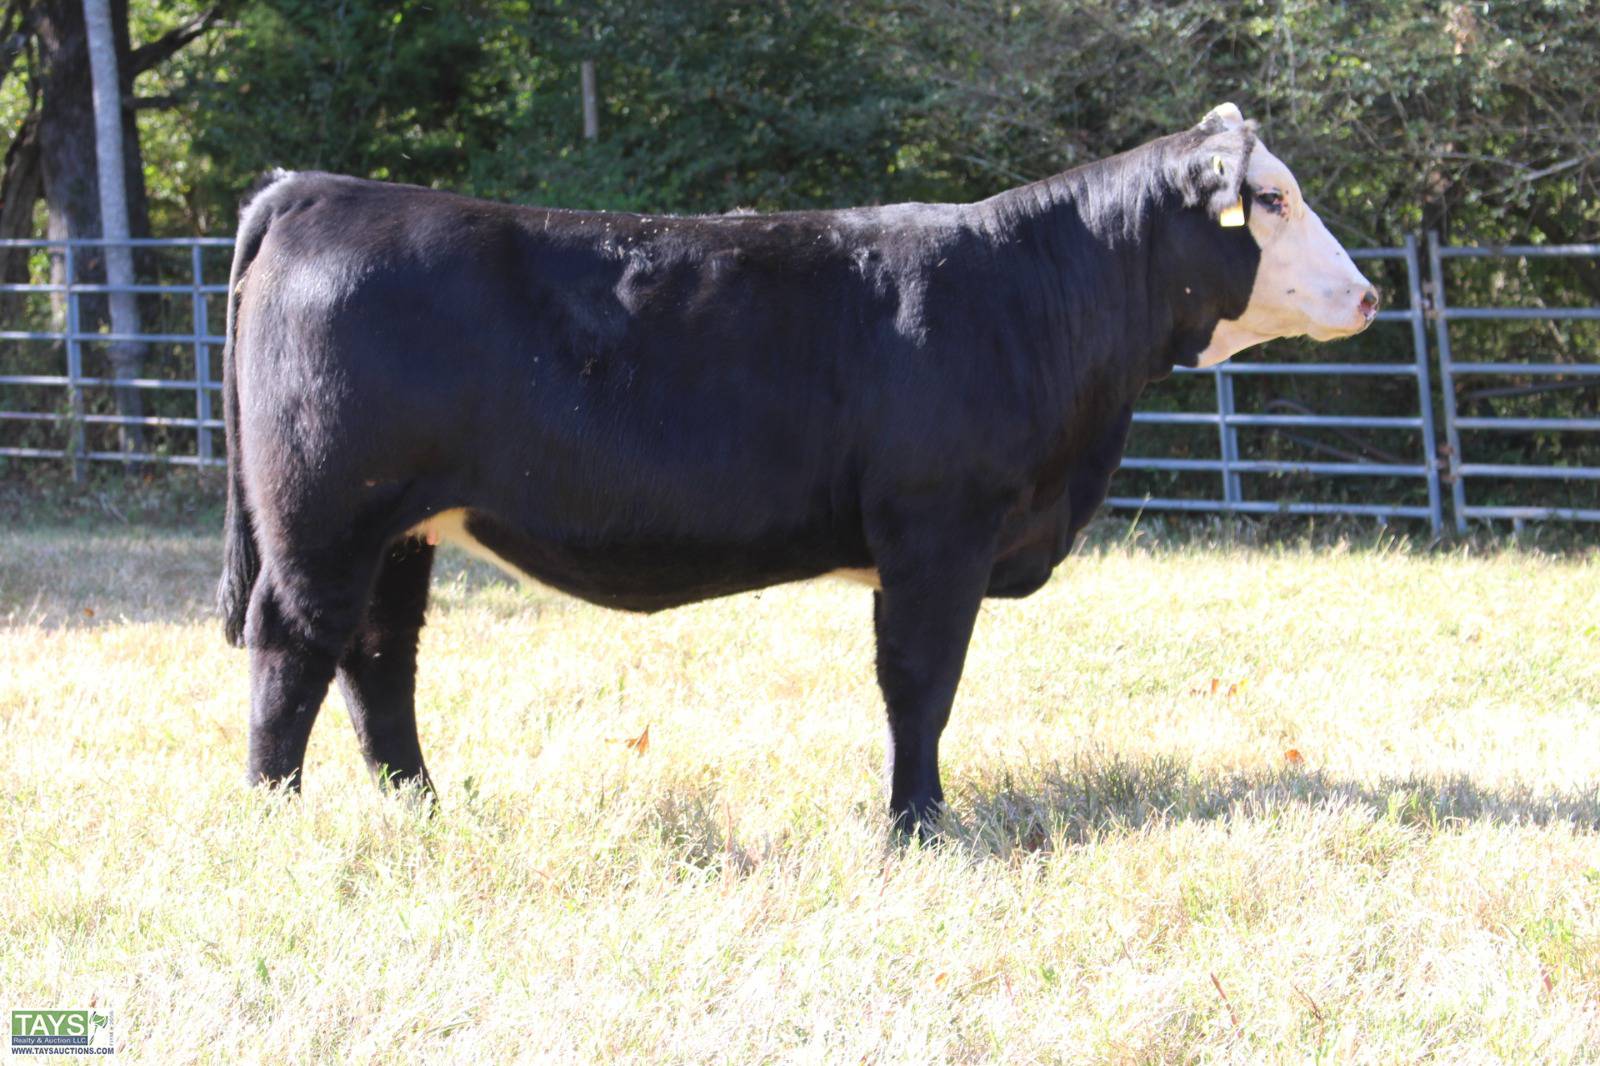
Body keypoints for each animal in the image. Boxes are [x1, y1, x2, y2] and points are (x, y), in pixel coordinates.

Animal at [218, 103, 1376, 832]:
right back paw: (274, 818)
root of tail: (322, 189)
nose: (1367, 294)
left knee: (379, 656)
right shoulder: (938, 530)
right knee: (295, 646)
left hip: (400, 526)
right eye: (1270, 200)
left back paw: (424, 809)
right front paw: (918, 827)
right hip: (325, 515)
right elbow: (920, 683)